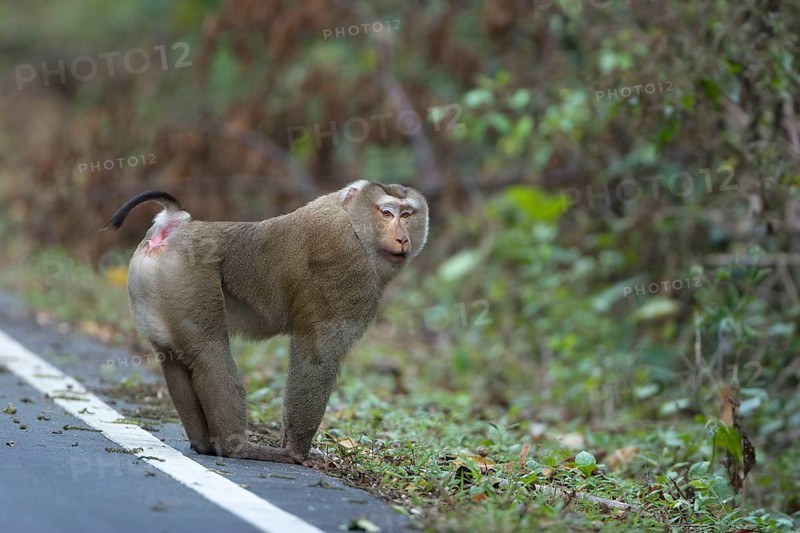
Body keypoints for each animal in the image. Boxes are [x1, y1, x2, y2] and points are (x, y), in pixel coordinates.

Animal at [103, 181, 428, 464]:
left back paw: (203, 443)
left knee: (172, 357)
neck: (354, 225)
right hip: (187, 276)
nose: (403, 238)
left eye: (407, 214)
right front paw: (297, 450)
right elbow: (316, 356)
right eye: (386, 213)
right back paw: (237, 447)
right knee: (209, 352)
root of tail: (175, 225)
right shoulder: (346, 271)